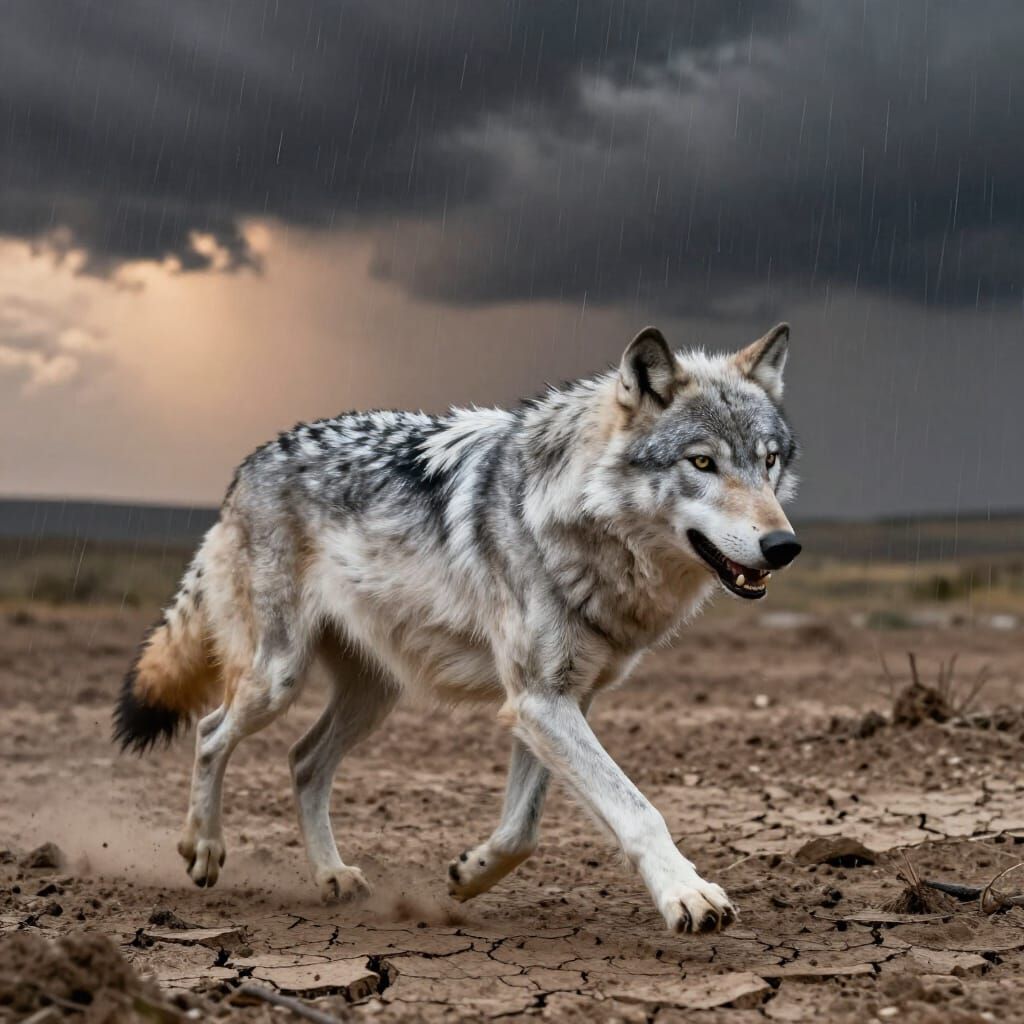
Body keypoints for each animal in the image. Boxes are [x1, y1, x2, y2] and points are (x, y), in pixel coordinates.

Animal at [113, 322, 800, 934]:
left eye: (768, 462)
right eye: (702, 462)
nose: (784, 545)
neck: (571, 522)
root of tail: (249, 463)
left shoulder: (560, 700)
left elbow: (523, 829)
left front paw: (470, 873)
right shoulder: (540, 701)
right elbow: (637, 810)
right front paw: (689, 895)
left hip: (376, 694)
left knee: (303, 760)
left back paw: (333, 876)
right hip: (278, 678)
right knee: (210, 732)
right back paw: (203, 849)